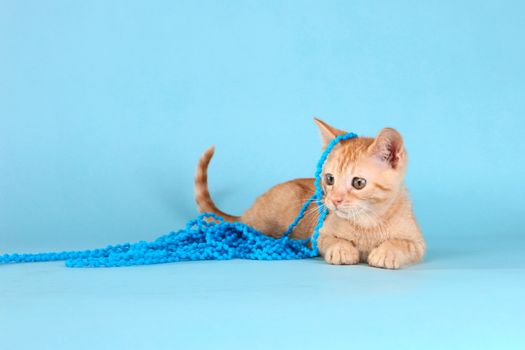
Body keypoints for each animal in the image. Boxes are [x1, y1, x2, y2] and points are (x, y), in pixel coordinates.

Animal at [194, 119, 424, 270]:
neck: (367, 222)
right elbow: (331, 240)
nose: (334, 200)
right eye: (330, 179)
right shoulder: (320, 234)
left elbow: (403, 243)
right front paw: (342, 249)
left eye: (358, 183)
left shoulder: (419, 243)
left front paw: (386, 251)